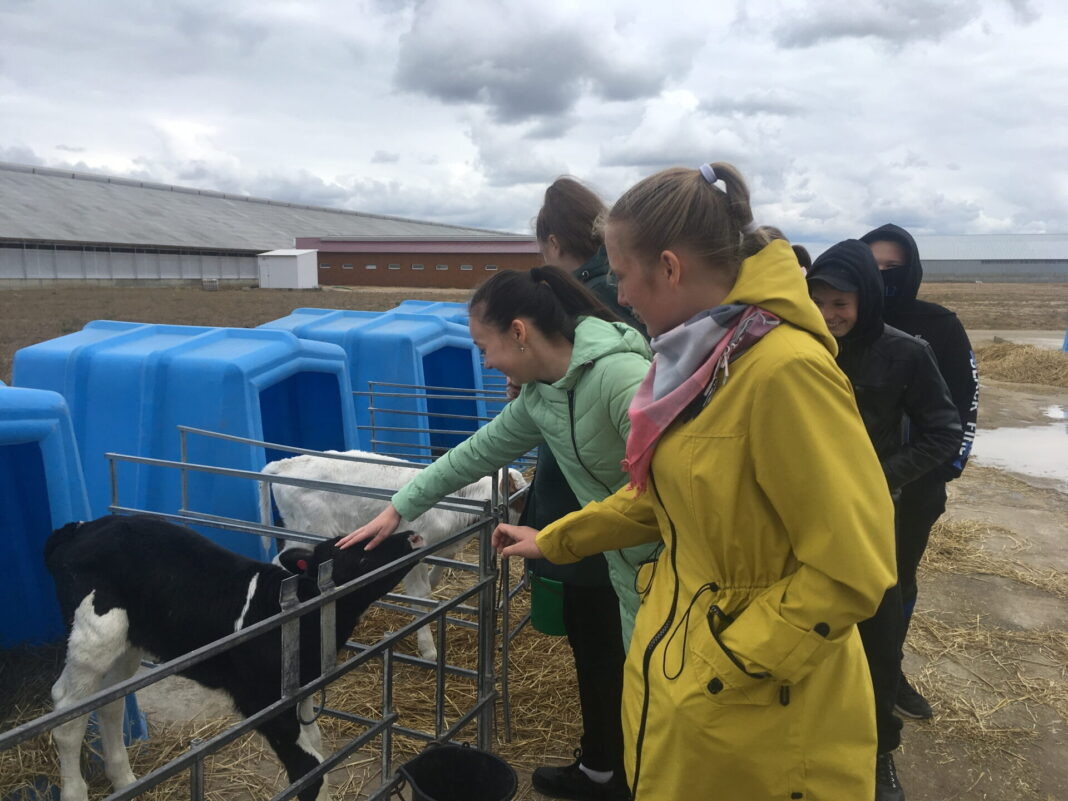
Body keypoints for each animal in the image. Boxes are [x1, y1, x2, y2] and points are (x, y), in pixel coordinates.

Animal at [45, 514, 415, 801]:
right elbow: (310, 771)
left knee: (109, 703)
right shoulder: (262, 700)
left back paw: (125, 780)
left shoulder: (302, 688)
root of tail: (80, 528)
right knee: (67, 712)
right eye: (355, 549)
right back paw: (76, 791)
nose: (410, 535)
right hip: (96, 633)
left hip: (128, 643)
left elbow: (316, 743)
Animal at [262, 451, 527, 660]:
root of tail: (286, 463)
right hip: (310, 531)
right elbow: (421, 596)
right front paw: (428, 649)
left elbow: (437, 574)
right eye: (519, 497)